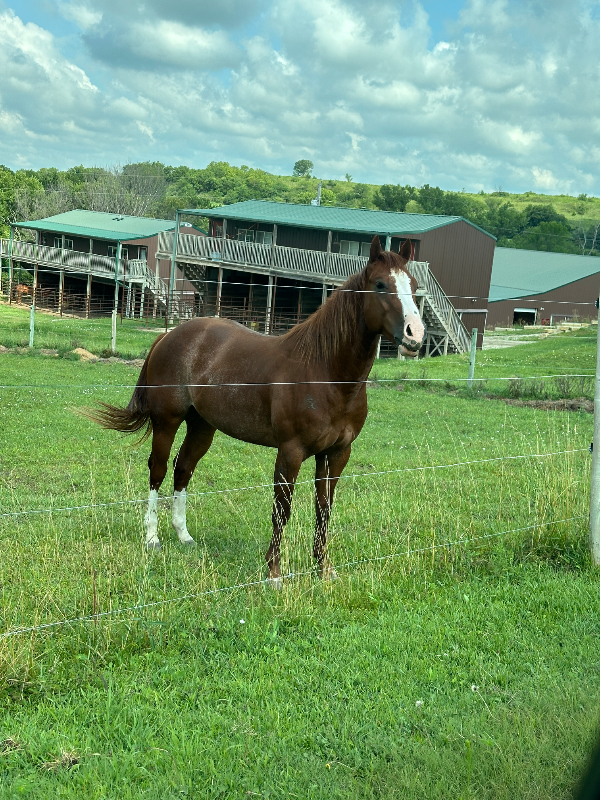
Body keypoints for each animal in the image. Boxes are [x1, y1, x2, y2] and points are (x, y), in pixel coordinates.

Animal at [88, 234, 426, 584]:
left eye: (414, 286)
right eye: (380, 284)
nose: (416, 334)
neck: (325, 372)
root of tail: (169, 336)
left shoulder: (337, 454)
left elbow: (324, 509)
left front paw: (324, 569)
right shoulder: (291, 451)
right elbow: (282, 509)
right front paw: (274, 572)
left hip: (202, 426)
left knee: (184, 468)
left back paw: (183, 535)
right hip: (167, 421)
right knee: (159, 469)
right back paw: (152, 537)